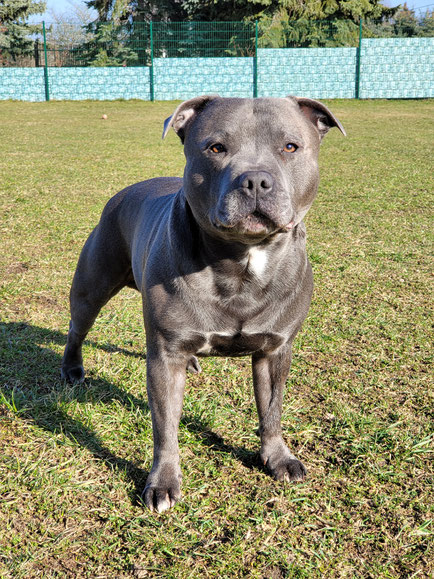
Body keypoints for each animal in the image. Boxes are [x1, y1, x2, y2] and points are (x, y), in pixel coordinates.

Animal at [62, 95, 346, 512]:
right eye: (216, 148)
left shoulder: (275, 351)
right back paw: (71, 368)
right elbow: (165, 426)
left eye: (291, 147)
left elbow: (272, 409)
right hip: (92, 287)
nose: (255, 179)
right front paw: (163, 481)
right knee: (77, 329)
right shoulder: (164, 359)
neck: (242, 261)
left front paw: (277, 457)